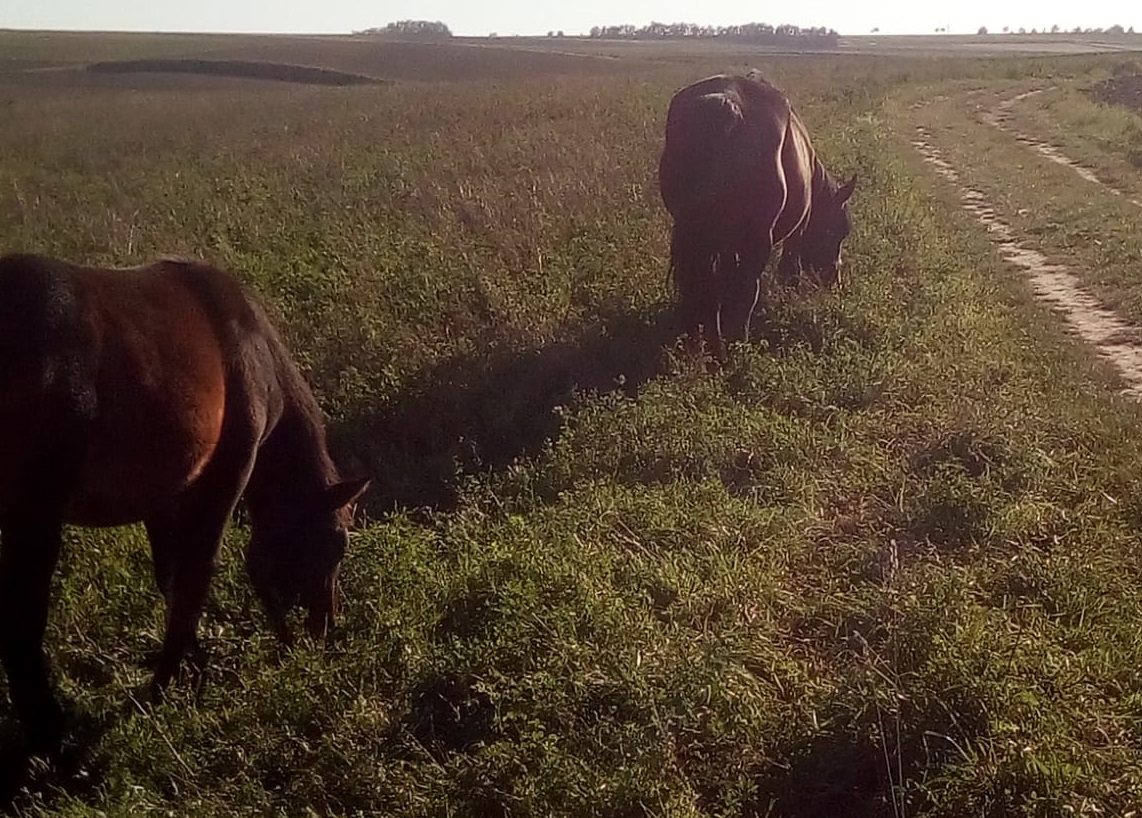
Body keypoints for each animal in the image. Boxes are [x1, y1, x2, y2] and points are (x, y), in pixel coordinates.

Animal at [0, 253, 369, 757]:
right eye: (335, 544)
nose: (325, 628)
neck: (257, 354)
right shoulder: (223, 477)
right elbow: (195, 576)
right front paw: (168, 681)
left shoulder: (164, 497)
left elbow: (171, 579)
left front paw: (192, 662)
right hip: (33, 513)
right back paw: (54, 743)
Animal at [658, 72, 857, 356]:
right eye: (838, 231)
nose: (834, 280)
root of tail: (727, 108)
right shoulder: (796, 234)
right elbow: (789, 270)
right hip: (756, 239)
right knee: (745, 290)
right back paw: (735, 346)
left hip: (694, 233)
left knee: (703, 289)